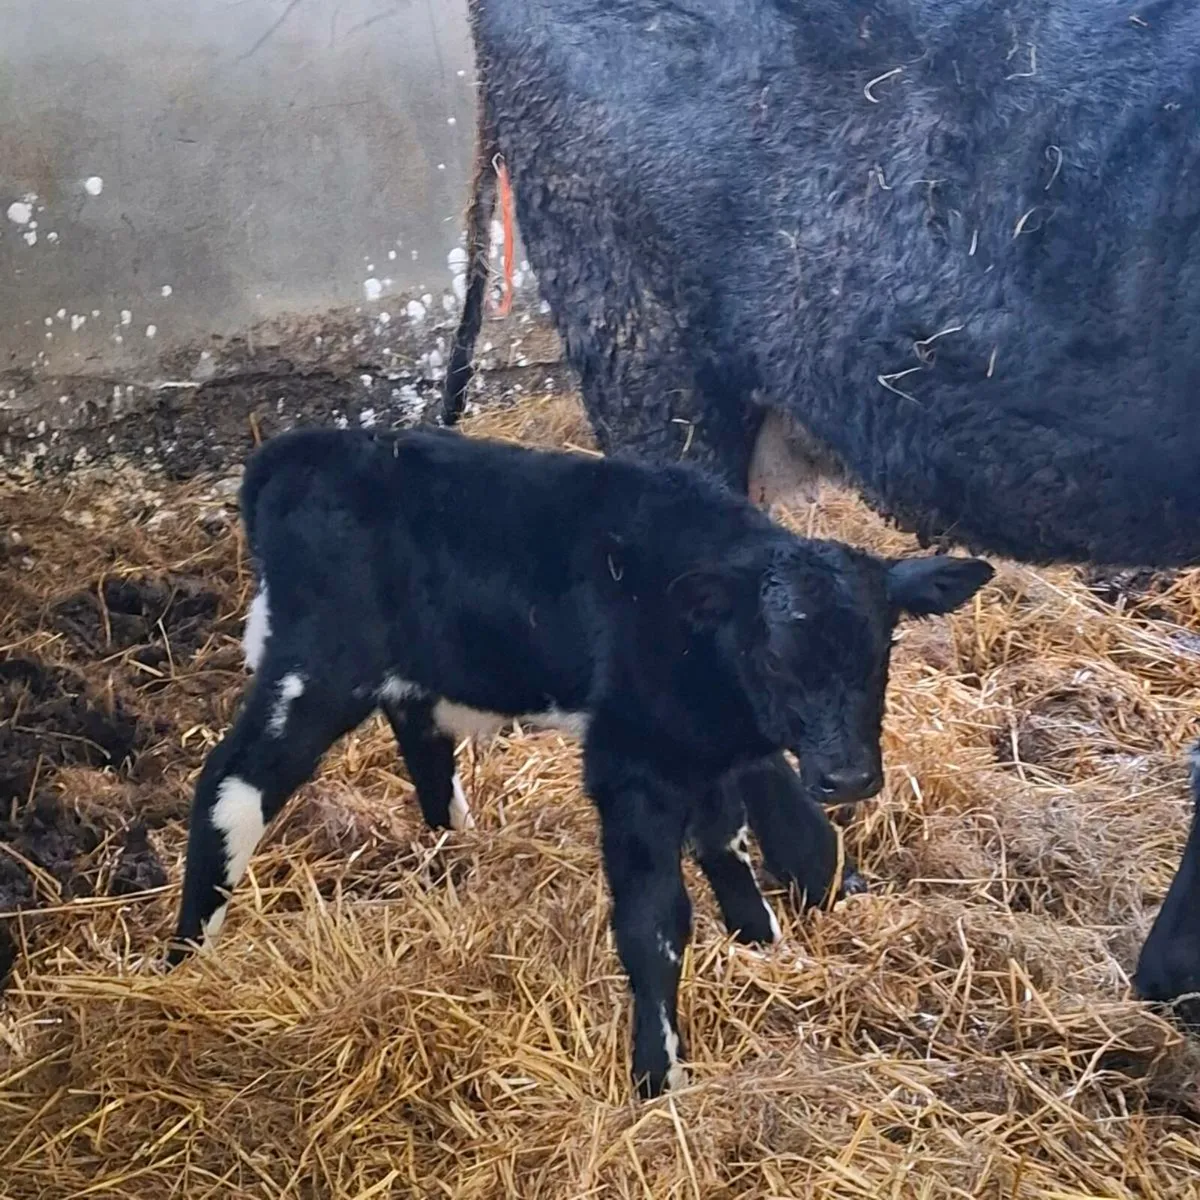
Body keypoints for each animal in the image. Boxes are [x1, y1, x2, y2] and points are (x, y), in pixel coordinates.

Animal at [166, 424, 992, 1097]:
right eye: (775, 655)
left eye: (882, 649)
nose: (848, 777)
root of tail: (295, 452)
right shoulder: (630, 758)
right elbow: (654, 920)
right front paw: (660, 1076)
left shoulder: (697, 747)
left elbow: (723, 838)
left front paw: (761, 939)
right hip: (318, 668)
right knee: (231, 784)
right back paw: (188, 954)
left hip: (412, 662)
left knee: (418, 733)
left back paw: (455, 849)